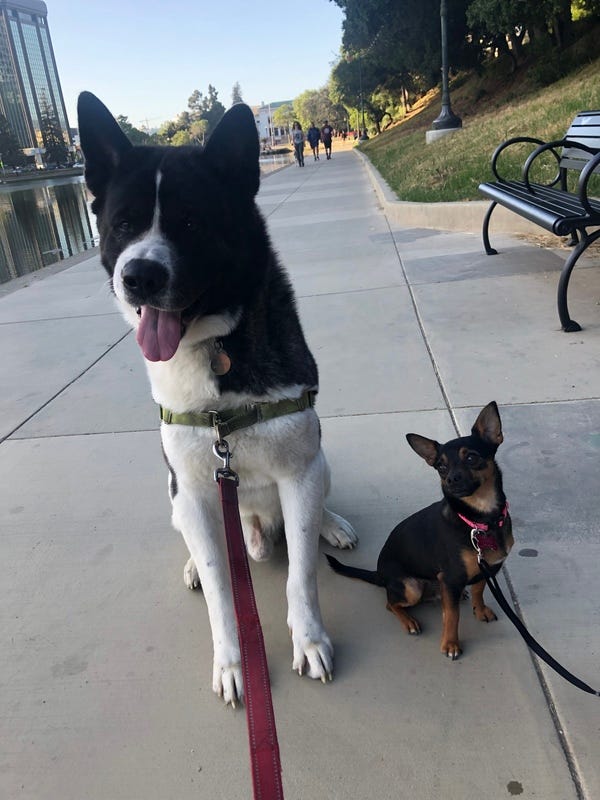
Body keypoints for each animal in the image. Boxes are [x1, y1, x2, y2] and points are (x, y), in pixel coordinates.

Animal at [76, 95, 356, 708]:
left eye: (191, 222)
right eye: (122, 225)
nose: (138, 276)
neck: (216, 347)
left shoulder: (299, 471)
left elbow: (302, 573)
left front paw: (309, 639)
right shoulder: (194, 486)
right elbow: (221, 595)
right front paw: (232, 660)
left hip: (319, 463)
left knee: (312, 509)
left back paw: (330, 523)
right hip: (178, 497)